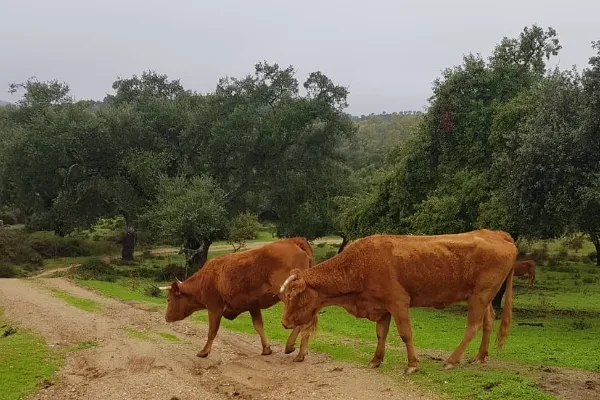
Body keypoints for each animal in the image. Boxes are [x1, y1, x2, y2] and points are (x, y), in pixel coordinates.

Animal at [159, 238, 318, 362]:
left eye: (168, 300)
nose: (166, 317)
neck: (206, 278)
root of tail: (293, 241)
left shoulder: (214, 308)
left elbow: (212, 331)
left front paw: (204, 352)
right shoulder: (253, 306)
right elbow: (258, 326)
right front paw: (266, 348)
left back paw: (294, 348)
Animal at [278, 230, 516, 374]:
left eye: (291, 296)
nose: (284, 322)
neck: (358, 265)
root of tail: (496, 233)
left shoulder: (398, 302)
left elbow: (405, 334)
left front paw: (412, 365)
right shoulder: (382, 307)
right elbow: (380, 334)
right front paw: (376, 359)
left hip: (480, 296)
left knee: (473, 327)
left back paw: (451, 360)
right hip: (482, 297)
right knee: (488, 321)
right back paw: (480, 357)